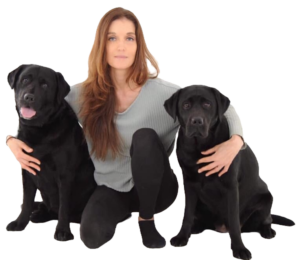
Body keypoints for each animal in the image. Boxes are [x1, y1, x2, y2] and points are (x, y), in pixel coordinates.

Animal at [5, 63, 96, 242]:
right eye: (25, 79)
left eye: (45, 85)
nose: (28, 97)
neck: (40, 130)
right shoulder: (27, 169)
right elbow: (26, 200)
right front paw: (20, 222)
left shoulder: (65, 174)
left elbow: (64, 206)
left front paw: (62, 231)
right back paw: (38, 214)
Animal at [164, 84, 296, 258]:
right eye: (186, 105)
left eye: (207, 104)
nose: (197, 121)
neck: (201, 146)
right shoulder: (189, 183)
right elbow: (187, 214)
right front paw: (181, 236)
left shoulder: (231, 187)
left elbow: (233, 220)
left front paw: (240, 248)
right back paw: (197, 227)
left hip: (267, 198)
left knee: (265, 219)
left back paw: (267, 231)